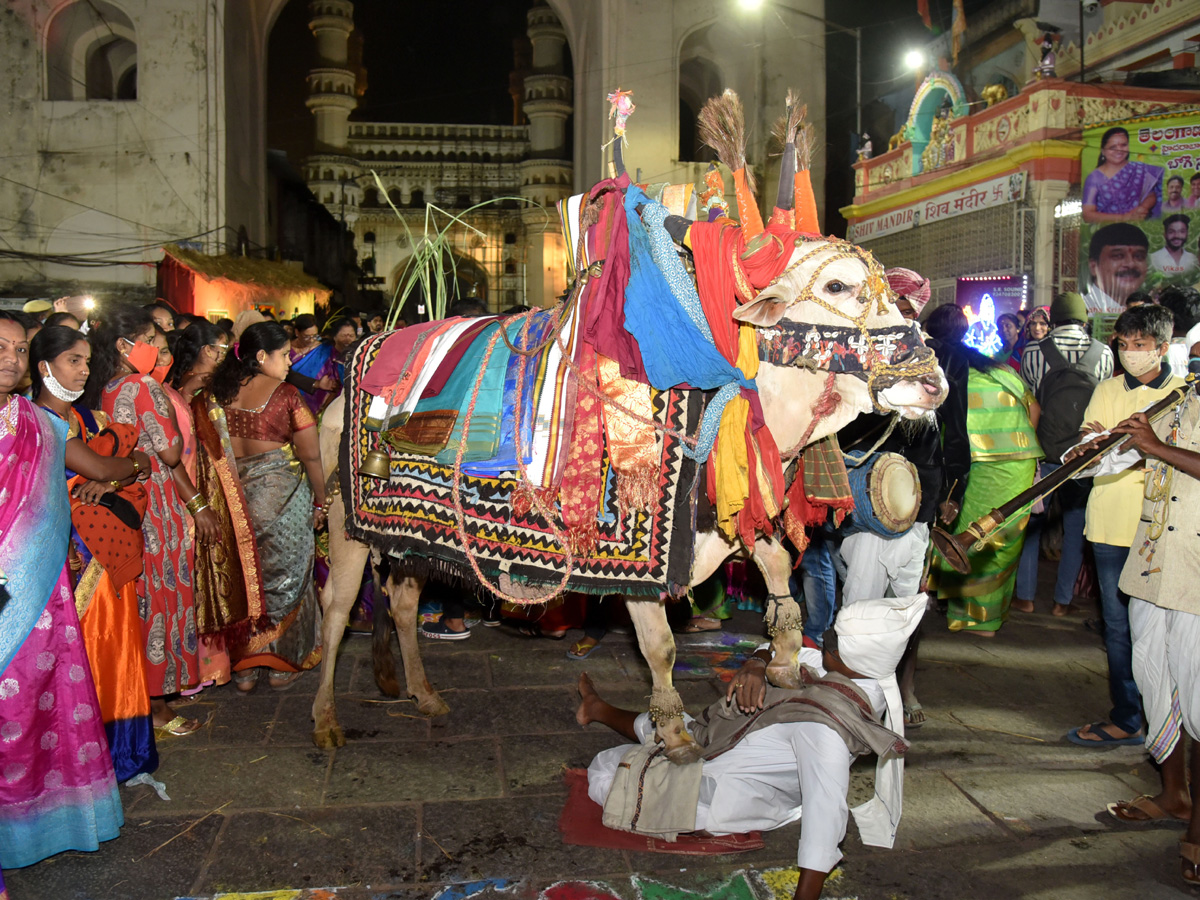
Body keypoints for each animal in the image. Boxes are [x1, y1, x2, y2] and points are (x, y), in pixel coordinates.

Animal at [309, 90, 945, 763]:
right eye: (836, 284)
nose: (931, 381)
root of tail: (343, 385)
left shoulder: (733, 512)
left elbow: (781, 578)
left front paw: (782, 664)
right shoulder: (642, 555)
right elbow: (660, 644)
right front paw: (674, 733)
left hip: (410, 540)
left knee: (403, 603)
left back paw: (425, 695)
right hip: (348, 526)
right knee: (336, 608)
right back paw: (325, 718)